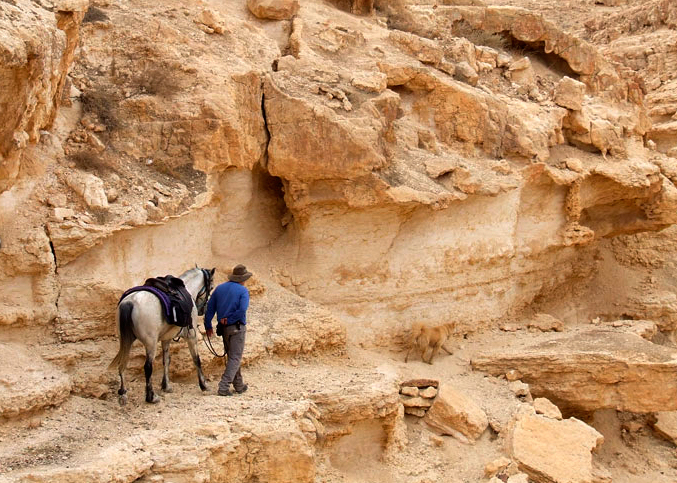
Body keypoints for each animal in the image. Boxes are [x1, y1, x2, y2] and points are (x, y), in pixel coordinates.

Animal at [109, 266, 214, 406]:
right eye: (211, 287)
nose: (203, 309)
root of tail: (130, 302)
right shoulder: (191, 335)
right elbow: (196, 359)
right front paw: (204, 385)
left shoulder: (166, 339)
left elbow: (166, 360)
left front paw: (166, 386)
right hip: (150, 343)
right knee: (148, 367)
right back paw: (151, 397)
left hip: (126, 341)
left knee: (123, 364)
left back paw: (123, 393)